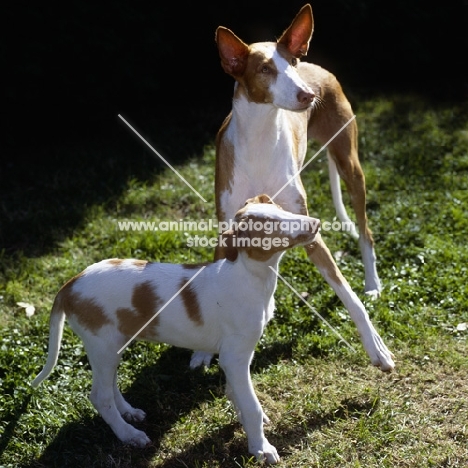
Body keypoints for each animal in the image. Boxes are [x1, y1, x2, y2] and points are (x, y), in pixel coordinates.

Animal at [32, 195, 344, 464]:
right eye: (269, 226)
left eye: (281, 210)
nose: (315, 223)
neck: (248, 275)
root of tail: (69, 285)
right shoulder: (234, 356)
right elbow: (251, 405)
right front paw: (261, 447)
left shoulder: (239, 354)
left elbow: (237, 394)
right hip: (102, 344)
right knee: (99, 396)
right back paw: (129, 435)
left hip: (114, 344)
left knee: (110, 385)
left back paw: (129, 412)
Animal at [190, 1, 392, 372]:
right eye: (265, 69)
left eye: (291, 65)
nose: (307, 95)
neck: (261, 139)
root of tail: (317, 65)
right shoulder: (228, 227)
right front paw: (201, 351)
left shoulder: (311, 231)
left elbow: (348, 295)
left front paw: (375, 347)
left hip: (350, 165)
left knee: (365, 231)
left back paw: (372, 282)